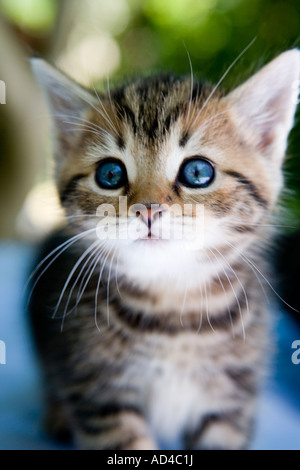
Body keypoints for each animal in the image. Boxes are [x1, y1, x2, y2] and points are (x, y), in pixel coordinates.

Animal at [27, 49, 298, 450]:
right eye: (110, 174)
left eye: (198, 172)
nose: (148, 210)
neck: (171, 311)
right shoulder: (100, 397)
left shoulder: (231, 400)